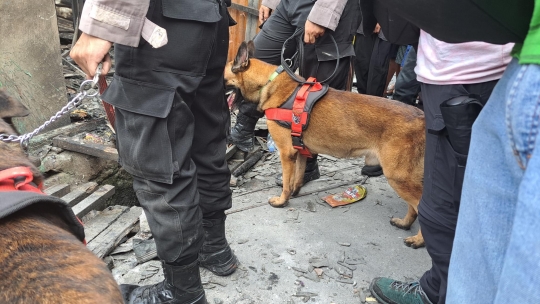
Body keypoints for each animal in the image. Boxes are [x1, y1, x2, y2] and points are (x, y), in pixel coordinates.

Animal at [224, 41, 426, 248]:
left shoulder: (286, 153)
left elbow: (287, 183)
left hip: (397, 176)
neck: (268, 82)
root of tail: (421, 117)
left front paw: (282, 200)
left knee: (422, 207)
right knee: (414, 207)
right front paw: (295, 192)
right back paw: (405, 223)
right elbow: (297, 177)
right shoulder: (300, 152)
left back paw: (419, 240)